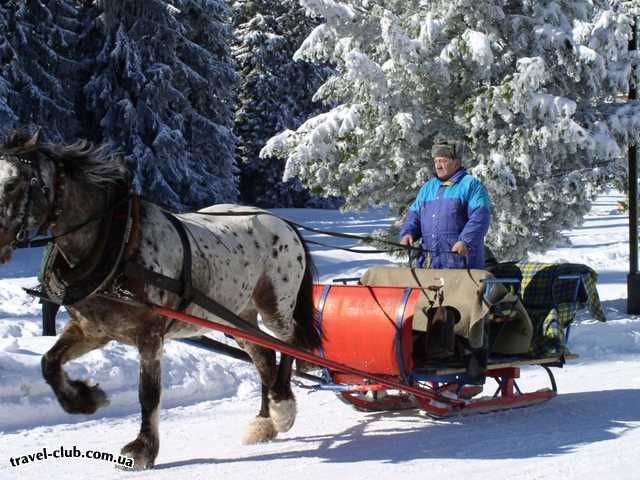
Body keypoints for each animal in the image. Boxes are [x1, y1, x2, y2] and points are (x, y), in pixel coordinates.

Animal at [0, 127, 320, 468]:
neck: (118, 242)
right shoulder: (92, 330)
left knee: (289, 344)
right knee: (264, 356)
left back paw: (282, 407)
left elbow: (149, 393)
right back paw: (265, 421)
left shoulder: (150, 334)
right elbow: (49, 363)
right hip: (237, 316)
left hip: (275, 305)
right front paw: (86, 400)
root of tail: (285, 224)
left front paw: (143, 449)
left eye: (12, 183)